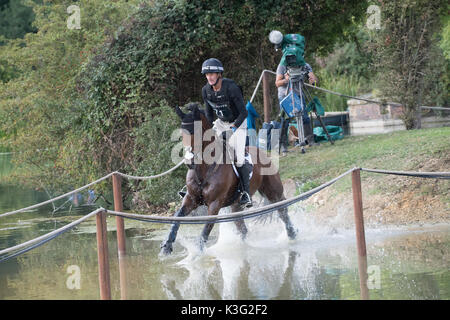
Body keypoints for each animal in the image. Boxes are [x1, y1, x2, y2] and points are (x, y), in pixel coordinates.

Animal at [160, 102, 298, 255]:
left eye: (196, 131)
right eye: (181, 133)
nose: (189, 161)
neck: (205, 169)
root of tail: (263, 152)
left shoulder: (215, 204)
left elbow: (206, 229)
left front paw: (198, 252)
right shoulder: (191, 199)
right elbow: (177, 217)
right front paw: (166, 247)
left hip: (273, 192)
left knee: (282, 211)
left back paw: (292, 235)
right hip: (236, 205)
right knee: (243, 228)